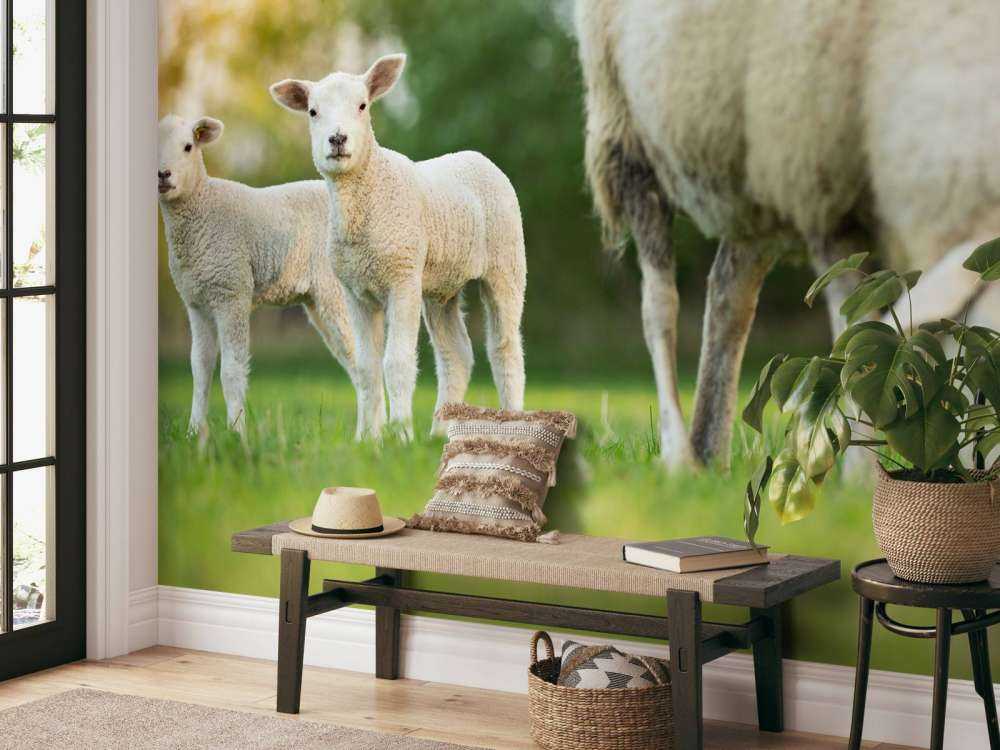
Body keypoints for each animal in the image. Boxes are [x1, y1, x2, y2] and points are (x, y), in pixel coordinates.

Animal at [157, 114, 358, 439]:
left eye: (188, 146)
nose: (163, 175)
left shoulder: (232, 291)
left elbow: (231, 370)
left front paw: (237, 433)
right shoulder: (196, 302)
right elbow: (199, 368)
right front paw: (194, 433)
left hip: (336, 291)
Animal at [270, 54, 527, 440]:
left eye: (362, 106)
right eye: (313, 112)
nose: (337, 139)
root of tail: (479, 157)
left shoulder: (402, 279)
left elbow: (397, 363)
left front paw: (401, 435)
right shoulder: (355, 291)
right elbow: (365, 367)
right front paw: (368, 438)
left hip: (505, 262)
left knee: (505, 348)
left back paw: (512, 423)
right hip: (439, 286)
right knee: (456, 354)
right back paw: (439, 431)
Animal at [575, 0, 1000, 471]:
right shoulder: (823, 190)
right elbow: (855, 330)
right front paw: (858, 476)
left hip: (753, 175)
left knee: (728, 299)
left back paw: (710, 452)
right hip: (626, 137)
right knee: (659, 304)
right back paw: (679, 454)